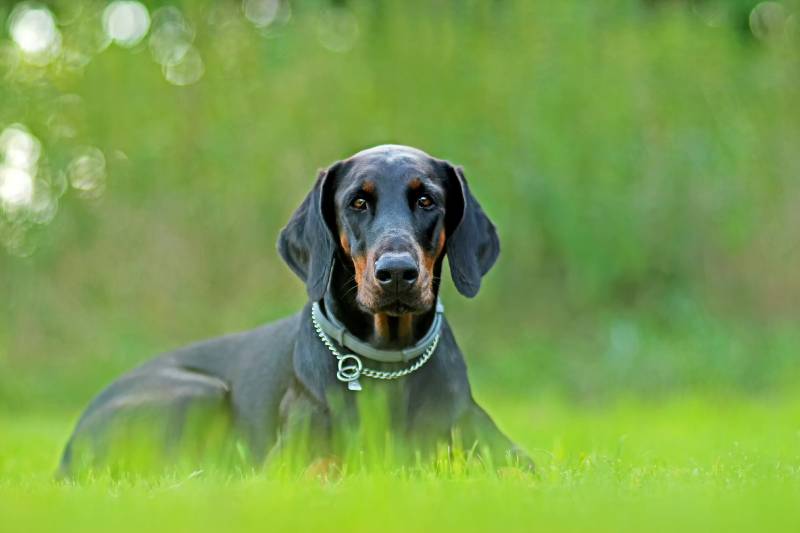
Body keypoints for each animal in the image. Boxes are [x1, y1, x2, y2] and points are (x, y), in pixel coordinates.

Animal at [57, 143, 532, 472]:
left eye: (426, 200)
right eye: (358, 202)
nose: (397, 272)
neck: (386, 363)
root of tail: (68, 447)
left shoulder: (493, 444)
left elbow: (517, 468)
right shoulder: (290, 457)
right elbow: (323, 464)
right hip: (196, 393)